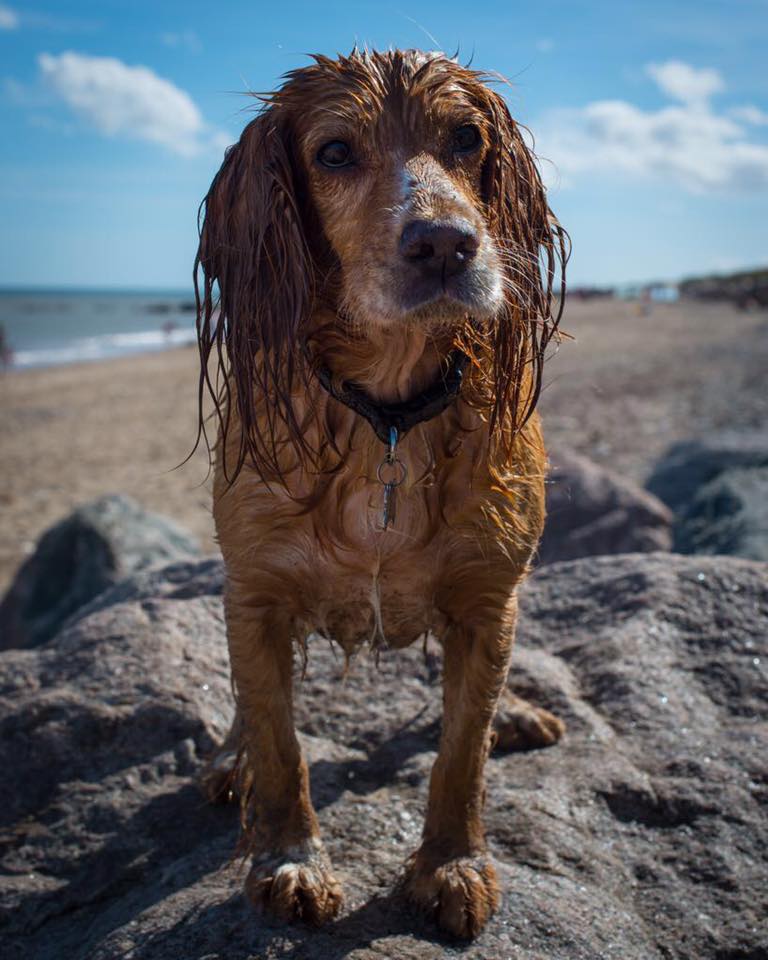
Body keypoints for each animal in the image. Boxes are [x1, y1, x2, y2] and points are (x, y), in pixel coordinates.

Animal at [195, 48, 568, 940]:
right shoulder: (254, 592)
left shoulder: (488, 599)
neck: (389, 413)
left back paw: (515, 709)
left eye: (467, 138)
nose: (446, 244)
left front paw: (451, 866)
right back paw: (229, 760)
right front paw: (289, 860)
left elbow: (461, 755)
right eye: (334, 152)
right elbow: (281, 743)